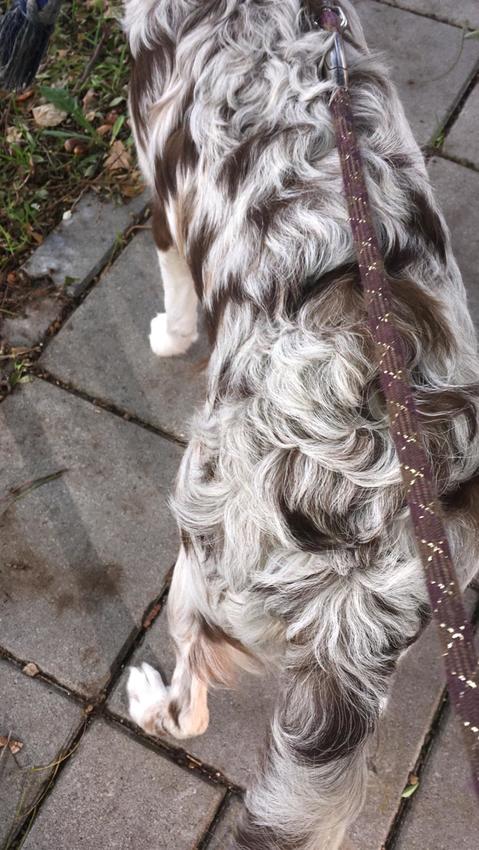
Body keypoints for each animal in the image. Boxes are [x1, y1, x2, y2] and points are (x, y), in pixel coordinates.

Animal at [123, 2, 479, 847]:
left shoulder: (160, 196)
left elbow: (176, 296)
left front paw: (167, 336)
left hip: (197, 569)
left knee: (189, 703)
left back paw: (146, 697)